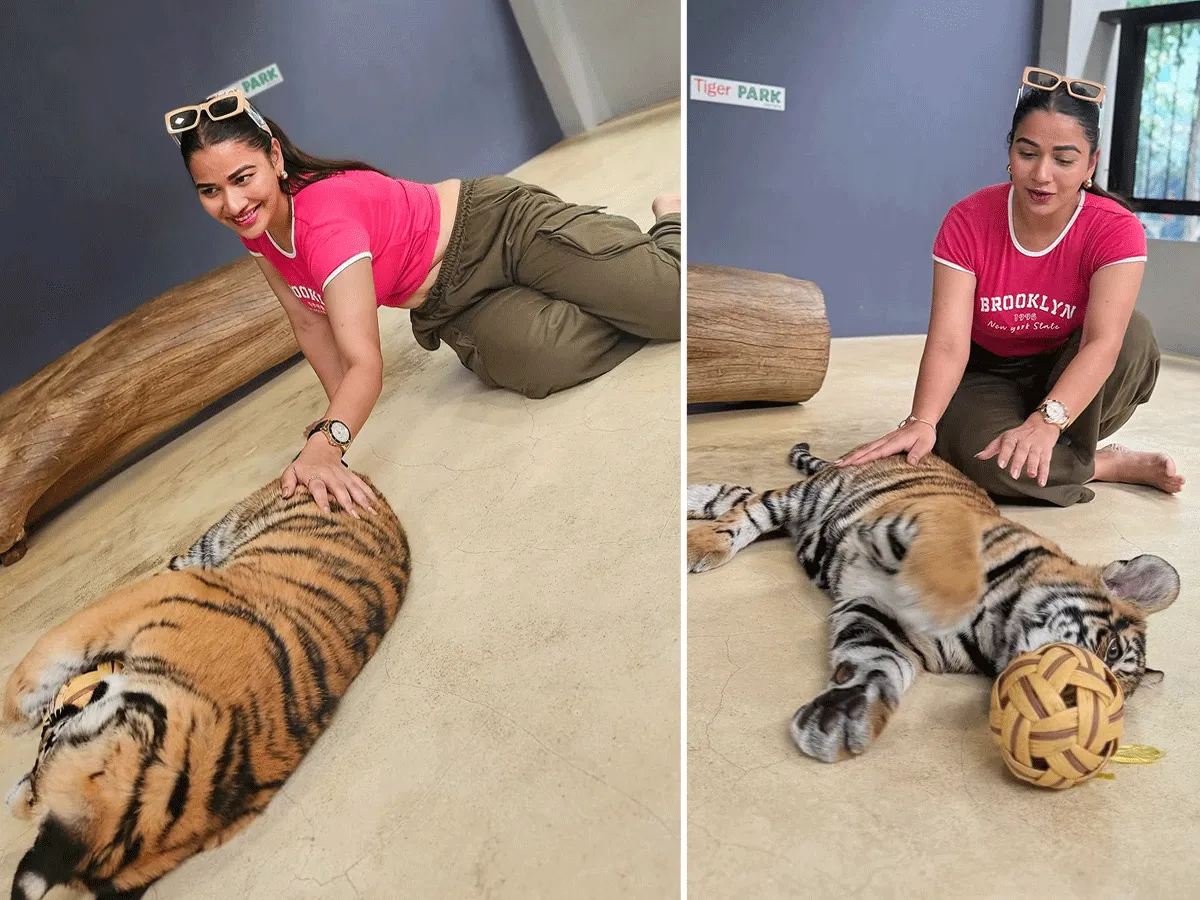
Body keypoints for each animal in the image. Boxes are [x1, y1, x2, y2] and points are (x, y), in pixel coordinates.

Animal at [691, 441, 1176, 763]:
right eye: (1109, 650)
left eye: (1114, 689)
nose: (1073, 709)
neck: (997, 627)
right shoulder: (929, 526)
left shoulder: (884, 619)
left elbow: (874, 660)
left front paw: (843, 716)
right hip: (808, 495)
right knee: (750, 507)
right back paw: (702, 541)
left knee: (740, 496)